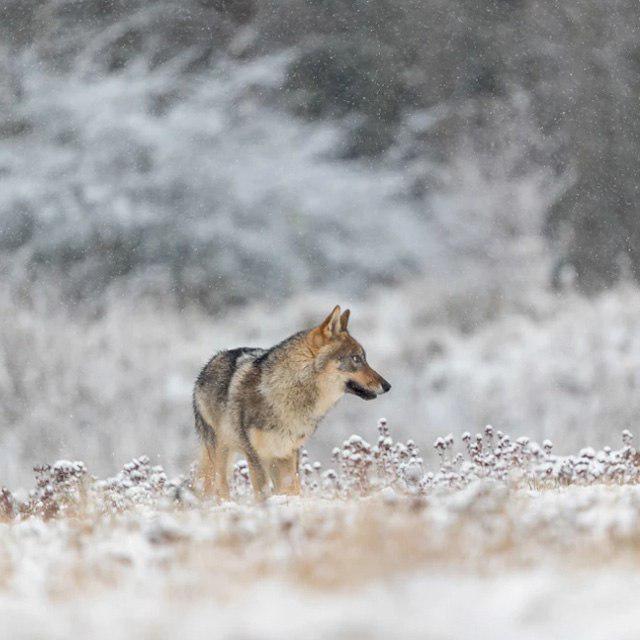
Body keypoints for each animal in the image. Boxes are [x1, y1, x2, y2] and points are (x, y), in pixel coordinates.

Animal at [190, 304, 390, 500]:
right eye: (356, 359)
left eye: (364, 358)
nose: (387, 386)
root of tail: (210, 363)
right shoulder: (255, 456)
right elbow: (263, 496)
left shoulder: (288, 453)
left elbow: (293, 491)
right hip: (221, 455)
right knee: (218, 489)